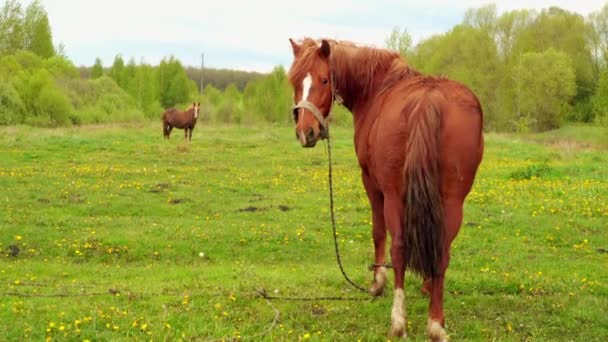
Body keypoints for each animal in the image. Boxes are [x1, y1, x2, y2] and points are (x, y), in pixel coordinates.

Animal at [290, 37, 484, 340]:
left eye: (324, 79)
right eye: (296, 80)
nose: (305, 132)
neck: (377, 88)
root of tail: (430, 99)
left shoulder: (371, 183)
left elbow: (378, 232)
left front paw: (377, 282)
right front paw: (428, 285)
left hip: (394, 196)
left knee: (399, 248)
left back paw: (398, 320)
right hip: (453, 201)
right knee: (441, 250)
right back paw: (436, 324)